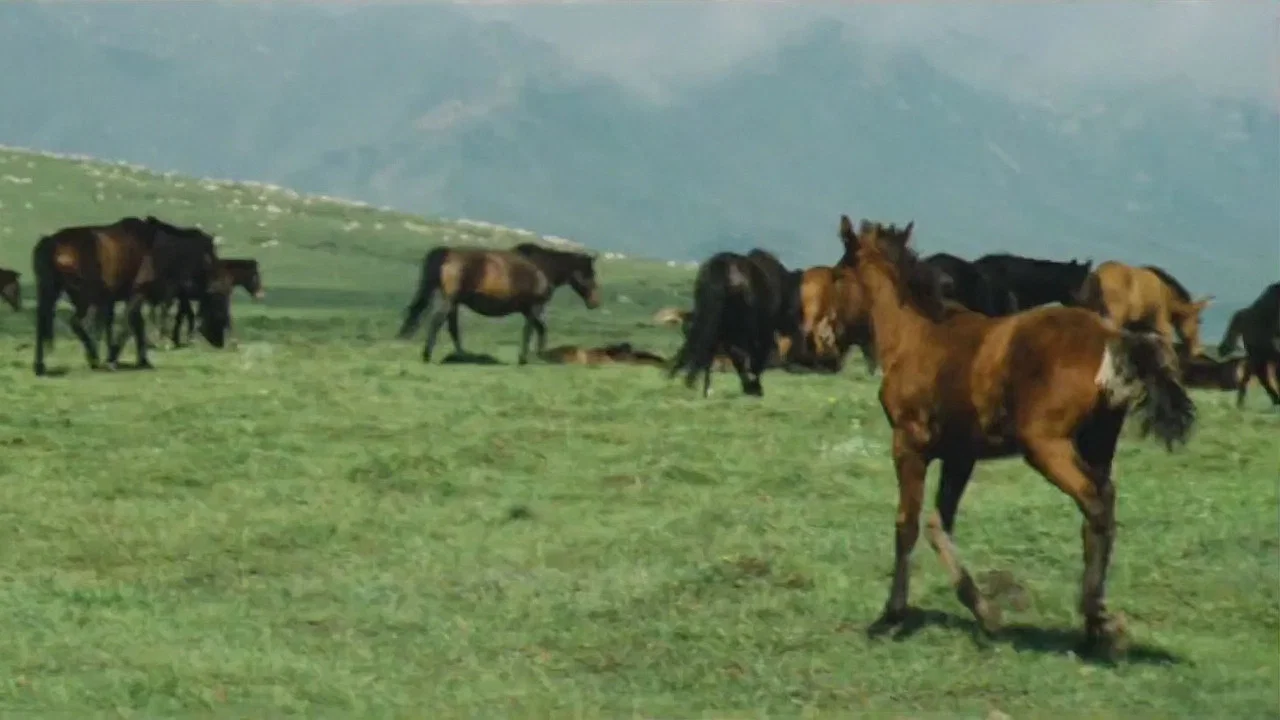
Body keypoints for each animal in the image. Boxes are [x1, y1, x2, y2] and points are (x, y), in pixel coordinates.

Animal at [32, 216, 229, 376]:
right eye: (217, 306)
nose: (220, 342)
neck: (162, 250)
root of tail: (51, 243)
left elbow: (134, 325)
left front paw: (143, 360)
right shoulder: (137, 292)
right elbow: (128, 324)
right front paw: (112, 358)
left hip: (50, 291)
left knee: (42, 322)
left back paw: (40, 365)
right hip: (84, 296)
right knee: (76, 322)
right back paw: (94, 358)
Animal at [397, 241, 601, 364]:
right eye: (590, 274)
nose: (595, 302)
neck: (543, 268)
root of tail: (448, 254)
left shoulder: (528, 310)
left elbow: (534, 330)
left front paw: (533, 356)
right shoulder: (534, 307)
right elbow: (535, 330)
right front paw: (529, 358)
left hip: (453, 302)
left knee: (452, 328)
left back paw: (462, 355)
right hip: (450, 300)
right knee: (437, 322)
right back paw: (429, 355)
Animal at [835, 215, 1195, 656]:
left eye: (837, 273)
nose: (827, 334)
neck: (915, 334)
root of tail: (1114, 337)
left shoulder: (909, 443)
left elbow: (907, 526)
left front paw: (890, 616)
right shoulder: (961, 454)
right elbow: (939, 524)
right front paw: (985, 613)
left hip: (1047, 446)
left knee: (1094, 503)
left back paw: (1098, 618)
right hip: (1097, 444)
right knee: (1101, 508)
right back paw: (1094, 626)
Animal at [1077, 260, 1212, 364]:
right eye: (1198, 321)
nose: (1197, 350)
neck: (1168, 298)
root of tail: (1096, 275)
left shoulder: (1138, 327)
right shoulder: (1160, 322)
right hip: (1111, 318)